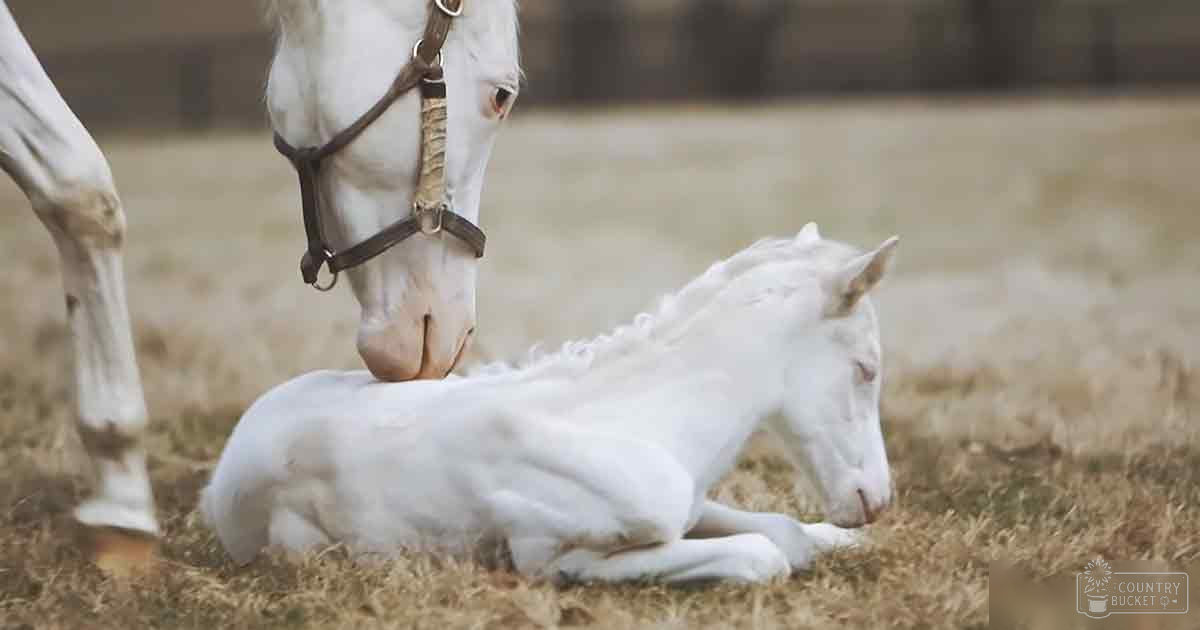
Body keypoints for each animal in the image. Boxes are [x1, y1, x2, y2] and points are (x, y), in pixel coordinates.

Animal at [202, 225, 899, 583]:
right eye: (865, 369)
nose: (876, 500)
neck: (647, 417)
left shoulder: (691, 503)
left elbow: (785, 532)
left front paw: (841, 541)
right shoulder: (551, 555)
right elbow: (764, 556)